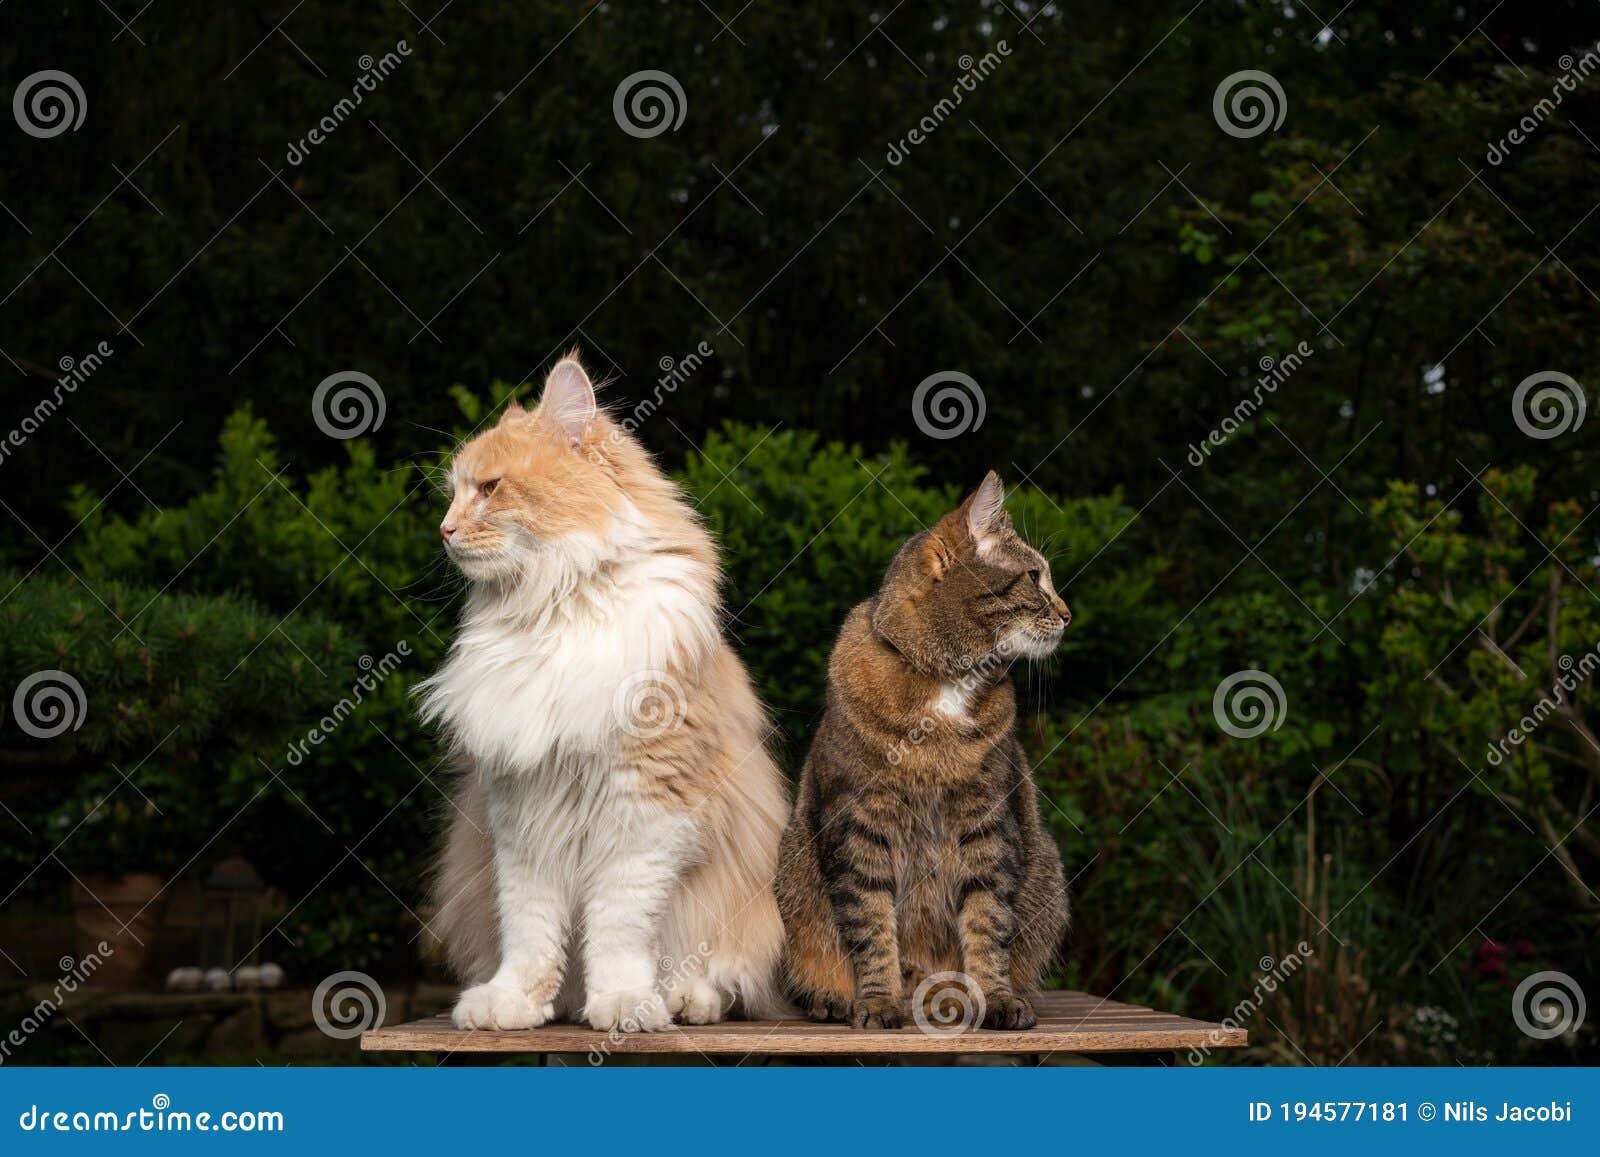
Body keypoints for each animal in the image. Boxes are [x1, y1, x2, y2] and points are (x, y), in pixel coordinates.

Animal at [416, 355, 784, 1030]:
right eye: (454, 494)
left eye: (489, 489)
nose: (444, 530)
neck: (554, 608)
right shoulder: (521, 817)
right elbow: (530, 933)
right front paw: (515, 1003)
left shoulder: (646, 814)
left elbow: (617, 932)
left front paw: (622, 1005)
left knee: (720, 974)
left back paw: (683, 1001)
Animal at [777, 470, 1068, 1030]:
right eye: (1035, 577)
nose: (1068, 614)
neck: (945, 684)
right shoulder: (859, 821)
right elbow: (870, 923)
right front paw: (876, 1001)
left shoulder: (987, 821)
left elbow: (988, 919)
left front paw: (995, 997)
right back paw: (835, 997)